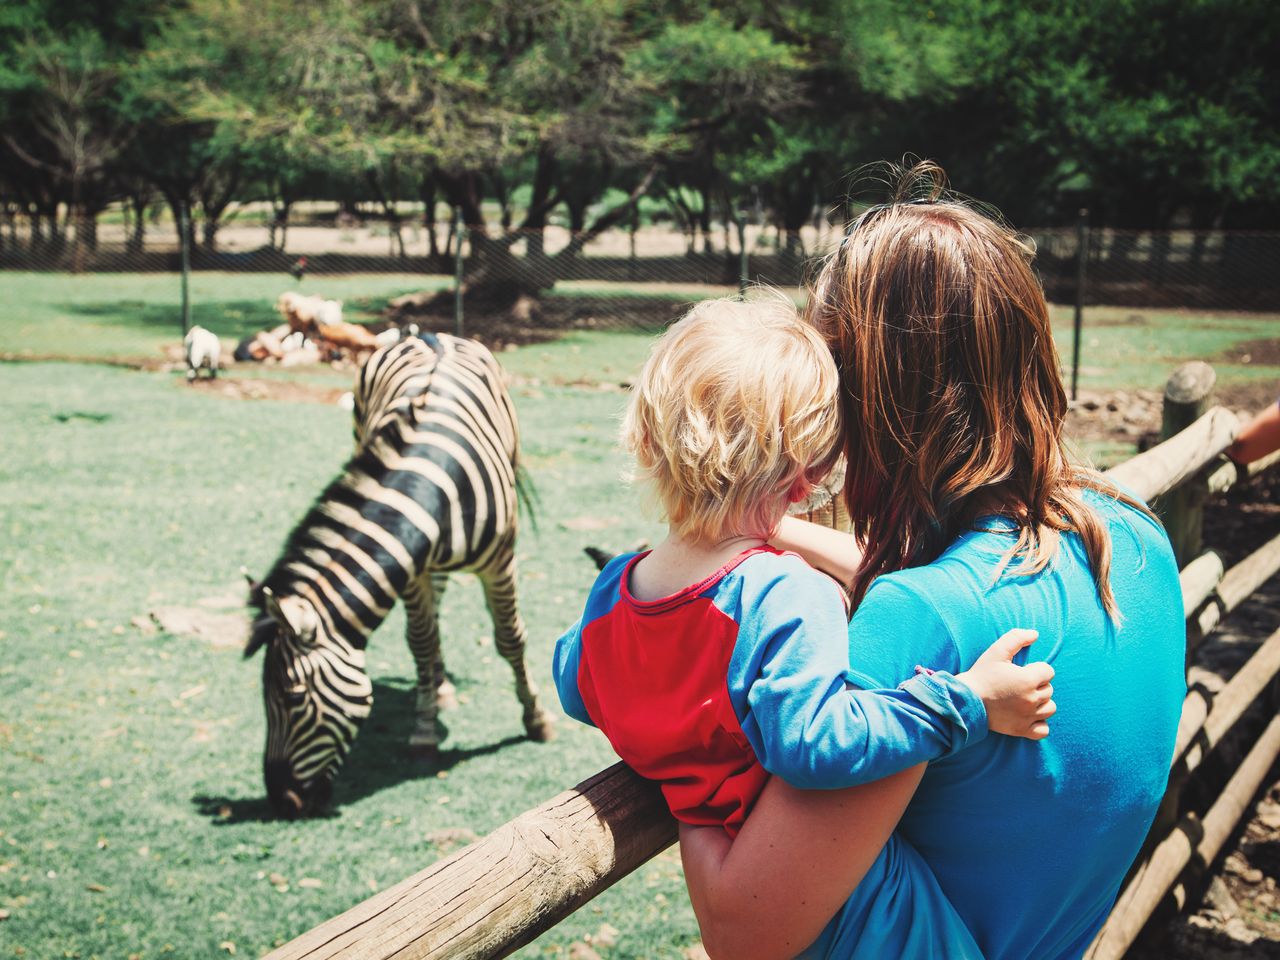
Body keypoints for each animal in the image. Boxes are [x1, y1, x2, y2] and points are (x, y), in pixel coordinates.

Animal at [244, 332, 555, 819]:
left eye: (293, 697)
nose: (282, 801)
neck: (434, 481)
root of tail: (428, 333)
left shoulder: (500, 561)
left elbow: (510, 638)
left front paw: (536, 718)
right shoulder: (411, 572)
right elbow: (422, 643)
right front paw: (425, 730)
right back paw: (439, 688)